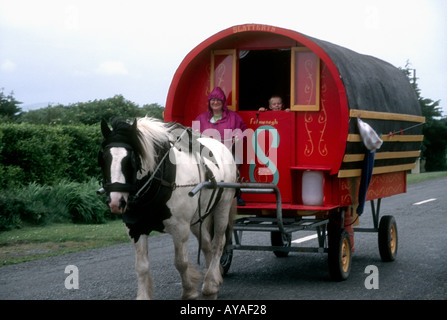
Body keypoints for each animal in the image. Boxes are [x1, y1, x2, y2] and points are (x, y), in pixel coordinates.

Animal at [98, 117, 238, 300]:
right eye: (104, 158)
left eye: (132, 159)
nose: (116, 202)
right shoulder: (135, 229)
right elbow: (141, 266)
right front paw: (143, 296)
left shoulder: (180, 228)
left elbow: (180, 262)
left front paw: (189, 291)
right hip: (196, 218)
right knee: (207, 244)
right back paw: (214, 276)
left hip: (223, 205)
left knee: (218, 244)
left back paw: (211, 284)